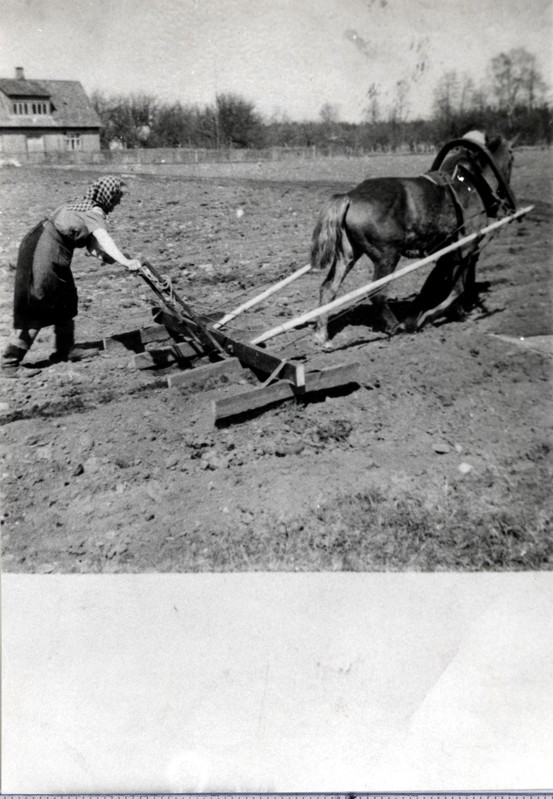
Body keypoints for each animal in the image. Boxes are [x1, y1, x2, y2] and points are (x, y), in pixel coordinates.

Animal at [310, 130, 512, 344]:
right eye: (511, 154)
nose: (505, 201)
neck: (469, 184)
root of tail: (350, 196)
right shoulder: (466, 247)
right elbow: (457, 287)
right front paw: (432, 316)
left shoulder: (449, 252)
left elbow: (444, 282)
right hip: (387, 257)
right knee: (377, 293)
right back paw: (396, 327)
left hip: (348, 255)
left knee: (328, 289)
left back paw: (322, 335)